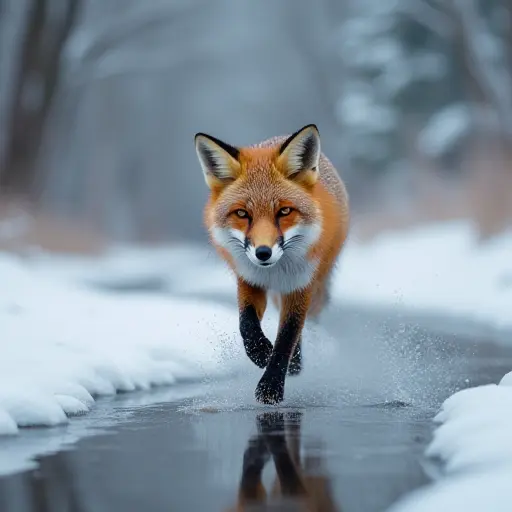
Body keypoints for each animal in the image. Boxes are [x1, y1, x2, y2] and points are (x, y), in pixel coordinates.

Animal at [194, 124, 350, 404]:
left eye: (284, 212)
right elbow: (246, 325)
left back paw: (295, 365)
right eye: (242, 214)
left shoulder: (300, 285)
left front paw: (271, 386)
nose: (263, 253)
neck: (275, 272)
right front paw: (260, 354)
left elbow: (287, 336)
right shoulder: (249, 279)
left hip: (317, 280)